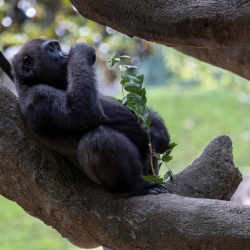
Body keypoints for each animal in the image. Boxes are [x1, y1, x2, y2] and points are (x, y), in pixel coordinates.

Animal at [12, 39, 172, 195]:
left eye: (58, 48)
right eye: (52, 49)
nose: (64, 54)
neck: (31, 82)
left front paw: (159, 135)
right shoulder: (39, 96)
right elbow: (82, 114)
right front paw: (81, 50)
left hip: (152, 173)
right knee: (98, 138)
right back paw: (133, 185)